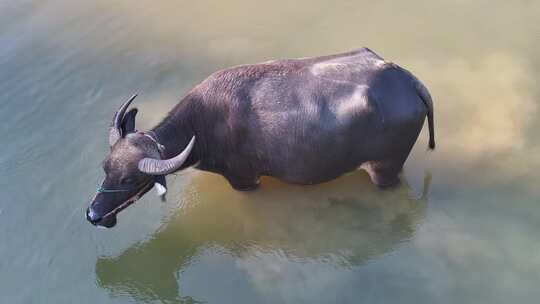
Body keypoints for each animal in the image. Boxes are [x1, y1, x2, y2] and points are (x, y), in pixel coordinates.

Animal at [86, 48, 436, 228]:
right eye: (105, 168)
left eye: (130, 179)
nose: (93, 215)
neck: (203, 125)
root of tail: (409, 81)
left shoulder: (244, 180)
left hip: (386, 170)